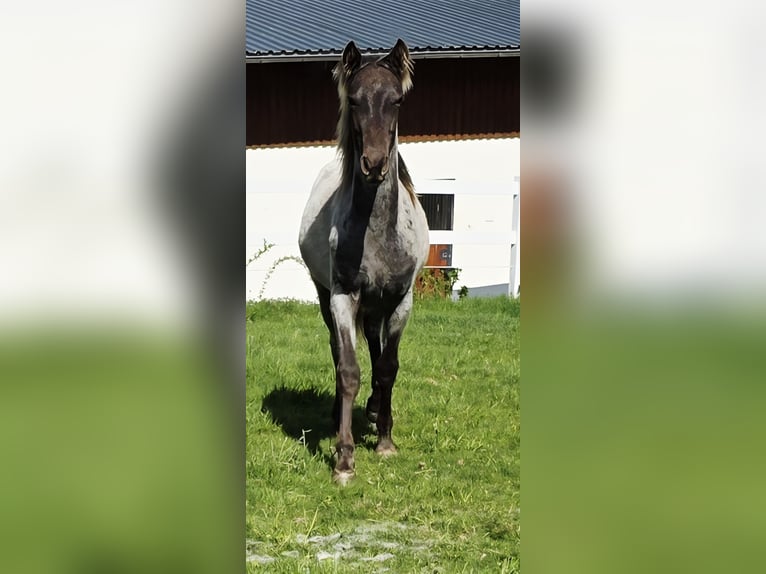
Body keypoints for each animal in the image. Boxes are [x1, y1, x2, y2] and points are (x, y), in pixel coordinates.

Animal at [298, 39, 430, 484]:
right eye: (353, 100)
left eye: (397, 100)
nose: (373, 164)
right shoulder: (343, 296)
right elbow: (349, 369)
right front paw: (344, 459)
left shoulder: (402, 299)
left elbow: (387, 367)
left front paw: (385, 440)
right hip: (329, 297)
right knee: (342, 352)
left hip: (379, 305)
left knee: (376, 347)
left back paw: (374, 411)